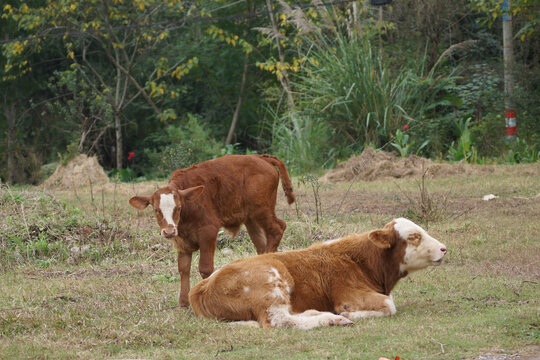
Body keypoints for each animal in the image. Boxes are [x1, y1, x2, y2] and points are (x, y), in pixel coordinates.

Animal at [127, 154, 296, 306]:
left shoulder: (208, 231)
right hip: (251, 220)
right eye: (156, 210)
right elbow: (183, 268)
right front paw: (183, 302)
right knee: (261, 245)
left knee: (277, 229)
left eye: (179, 208)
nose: (168, 232)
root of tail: (260, 157)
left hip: (262, 210)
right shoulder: (181, 240)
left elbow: (205, 268)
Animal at [190, 217, 448, 330]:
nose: (444, 248)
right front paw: (348, 314)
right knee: (280, 320)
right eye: (414, 236)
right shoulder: (349, 294)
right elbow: (389, 305)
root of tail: (204, 284)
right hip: (271, 283)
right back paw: (333, 319)